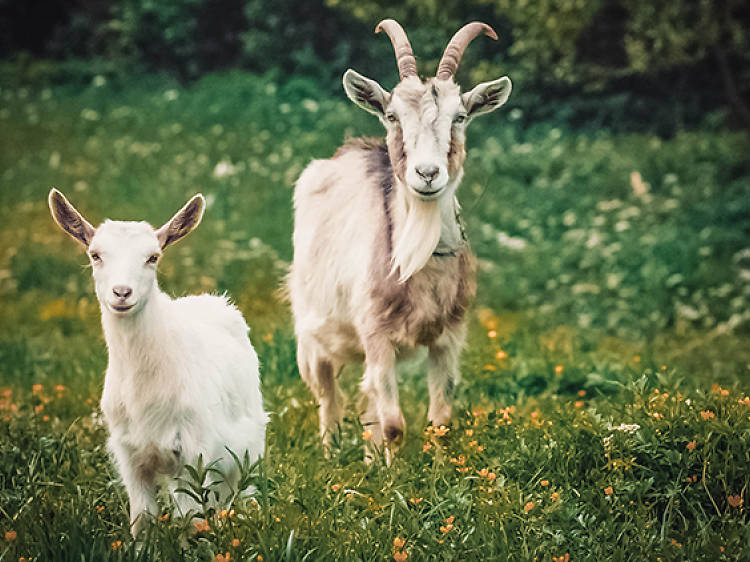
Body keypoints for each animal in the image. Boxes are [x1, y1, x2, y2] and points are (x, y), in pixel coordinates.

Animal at [47, 188, 268, 532]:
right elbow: (143, 519)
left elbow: (191, 520)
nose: (121, 292)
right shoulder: (130, 455)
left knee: (232, 498)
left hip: (244, 449)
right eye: (95, 255)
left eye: (153, 257)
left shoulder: (195, 452)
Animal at [290, 20, 516, 460]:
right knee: (328, 396)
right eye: (392, 115)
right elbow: (394, 424)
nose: (427, 173)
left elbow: (441, 419)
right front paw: (391, 475)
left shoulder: (449, 336)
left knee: (368, 404)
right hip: (311, 331)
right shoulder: (376, 332)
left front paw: (441, 469)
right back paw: (331, 455)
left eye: (460, 116)